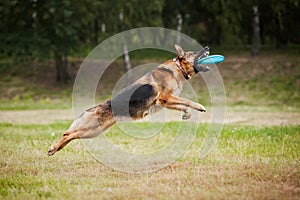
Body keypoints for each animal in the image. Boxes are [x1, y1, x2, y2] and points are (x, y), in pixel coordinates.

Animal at [48, 44, 210, 155]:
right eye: (194, 52)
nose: (207, 47)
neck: (178, 69)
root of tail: (94, 108)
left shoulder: (166, 101)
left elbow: (184, 105)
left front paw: (187, 114)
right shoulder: (166, 98)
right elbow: (188, 101)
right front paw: (200, 106)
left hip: (94, 131)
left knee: (71, 135)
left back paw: (56, 148)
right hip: (90, 129)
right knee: (67, 134)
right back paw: (54, 148)